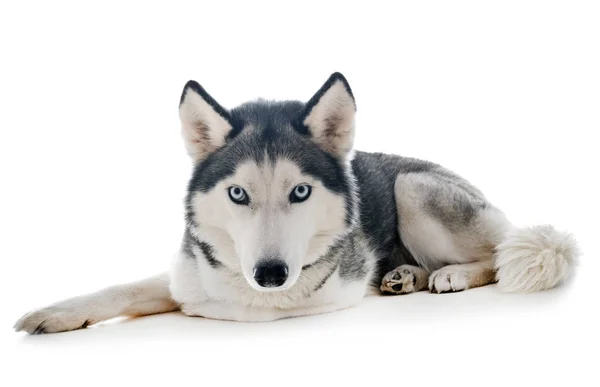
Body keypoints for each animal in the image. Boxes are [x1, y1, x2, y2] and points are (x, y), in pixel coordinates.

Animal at [14, 74, 576, 334]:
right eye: (237, 193)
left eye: (300, 191)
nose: (269, 274)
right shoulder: (190, 267)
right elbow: (129, 288)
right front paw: (57, 313)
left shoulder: (310, 295)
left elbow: (221, 303)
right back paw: (405, 276)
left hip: (414, 188)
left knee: (497, 256)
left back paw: (452, 273)